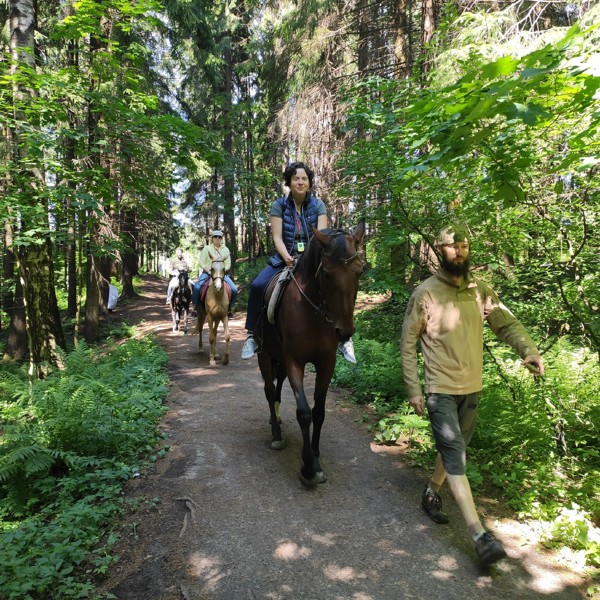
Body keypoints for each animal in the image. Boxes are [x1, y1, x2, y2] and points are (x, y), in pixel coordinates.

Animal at [254, 220, 366, 488]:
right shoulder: (295, 361)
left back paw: (277, 420)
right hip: (265, 355)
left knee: (277, 390)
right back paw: (276, 434)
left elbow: (319, 411)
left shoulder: (326, 363)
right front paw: (309, 466)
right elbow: (304, 413)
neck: (312, 311)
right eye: (327, 274)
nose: (344, 331)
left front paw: (315, 453)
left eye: (359, 271)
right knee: (269, 391)